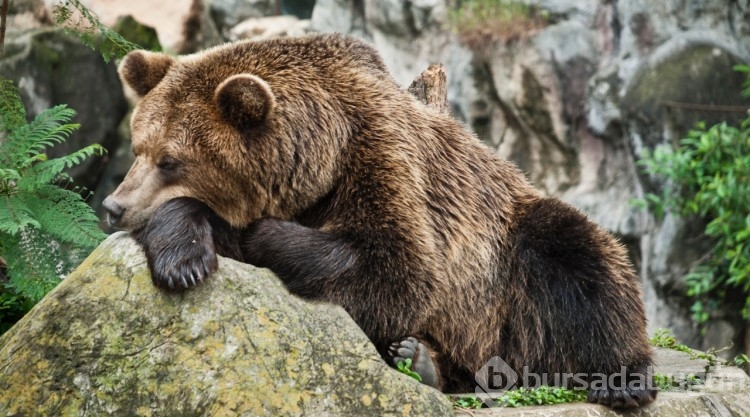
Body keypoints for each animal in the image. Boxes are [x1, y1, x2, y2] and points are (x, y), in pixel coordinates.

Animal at [104, 34, 656, 408]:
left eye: (171, 160)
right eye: (139, 147)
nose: (113, 206)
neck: (320, 155)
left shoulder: (384, 160)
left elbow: (397, 270)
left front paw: (260, 234)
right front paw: (184, 260)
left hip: (507, 267)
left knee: (580, 257)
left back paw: (623, 380)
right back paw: (422, 359)